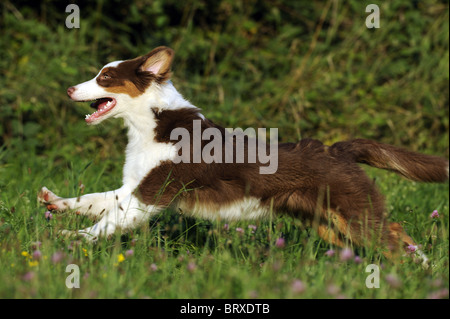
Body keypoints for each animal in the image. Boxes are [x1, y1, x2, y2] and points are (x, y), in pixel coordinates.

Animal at [37, 45, 446, 264]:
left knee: (394, 235)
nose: (69, 89)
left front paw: (71, 239)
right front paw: (53, 201)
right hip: (328, 223)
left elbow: (103, 224)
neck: (149, 123)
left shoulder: (149, 196)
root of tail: (338, 149)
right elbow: (92, 199)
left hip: (353, 214)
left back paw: (420, 271)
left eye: (104, 77)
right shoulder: (132, 189)